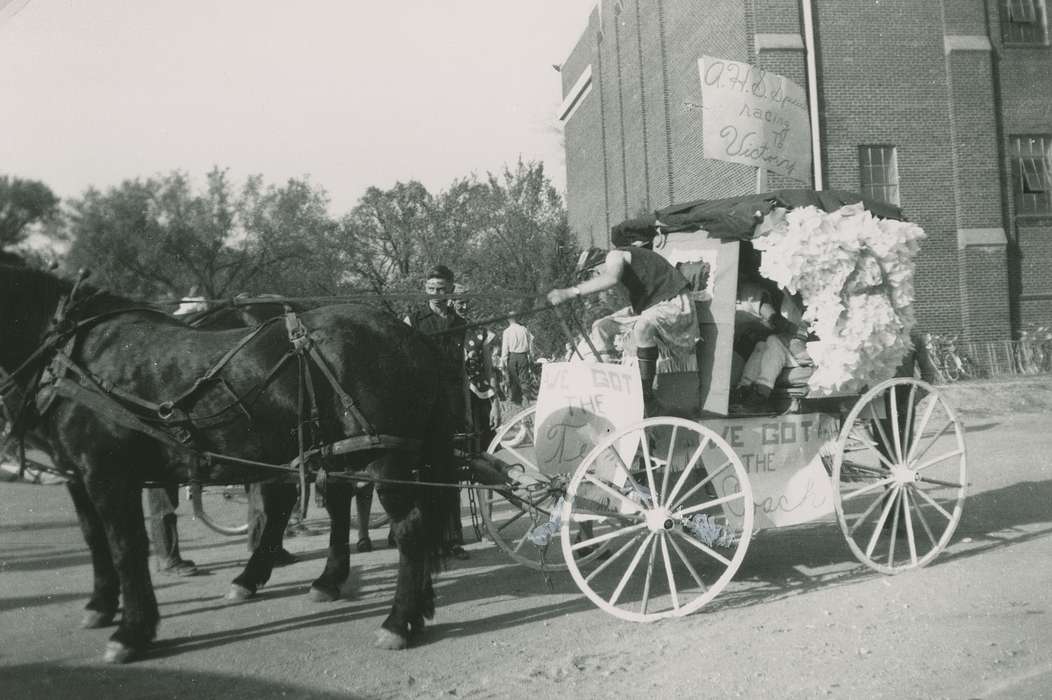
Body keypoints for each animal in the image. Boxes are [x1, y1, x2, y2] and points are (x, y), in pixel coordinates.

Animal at [1, 263, 460, 661]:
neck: (77, 355)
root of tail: (411, 336)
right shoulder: (77, 472)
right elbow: (94, 538)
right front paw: (100, 605)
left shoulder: (107, 475)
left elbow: (124, 546)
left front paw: (131, 631)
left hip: (385, 456)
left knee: (409, 528)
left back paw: (398, 622)